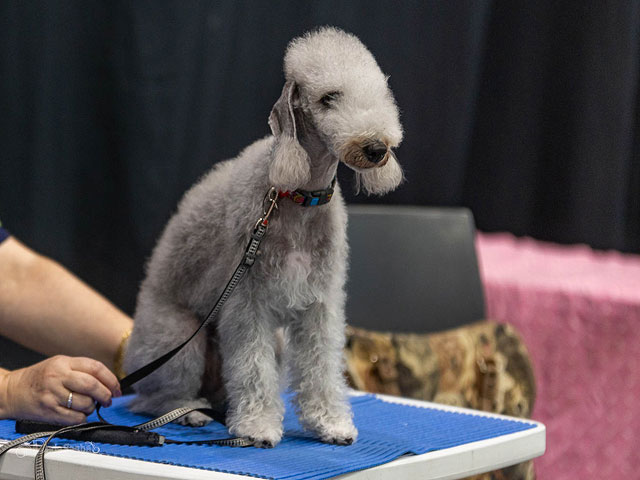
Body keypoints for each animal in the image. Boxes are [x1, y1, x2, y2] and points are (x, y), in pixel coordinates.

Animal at [124, 25, 402, 446]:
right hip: (178, 340)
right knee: (150, 399)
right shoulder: (246, 302)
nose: (375, 148)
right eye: (328, 98)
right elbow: (253, 368)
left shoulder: (319, 303)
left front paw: (330, 423)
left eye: (379, 93)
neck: (298, 198)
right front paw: (257, 427)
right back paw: (188, 413)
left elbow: (320, 365)